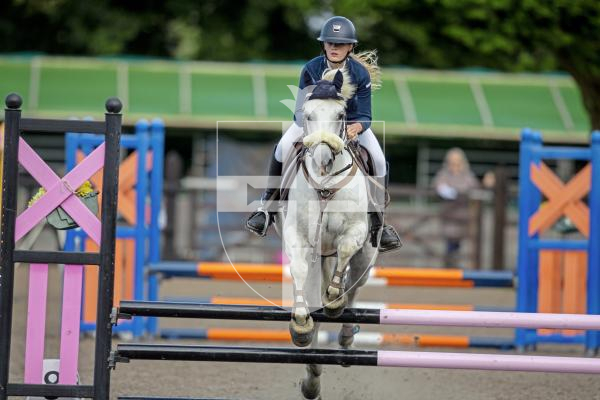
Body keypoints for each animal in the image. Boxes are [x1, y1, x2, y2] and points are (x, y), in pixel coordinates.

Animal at [274, 69, 378, 400]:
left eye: (341, 114)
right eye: (307, 115)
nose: (322, 161)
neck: (325, 185)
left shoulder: (354, 232)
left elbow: (345, 253)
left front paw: (335, 298)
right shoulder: (297, 237)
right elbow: (298, 274)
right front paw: (301, 326)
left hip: (366, 258)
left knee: (354, 287)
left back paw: (344, 337)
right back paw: (312, 377)